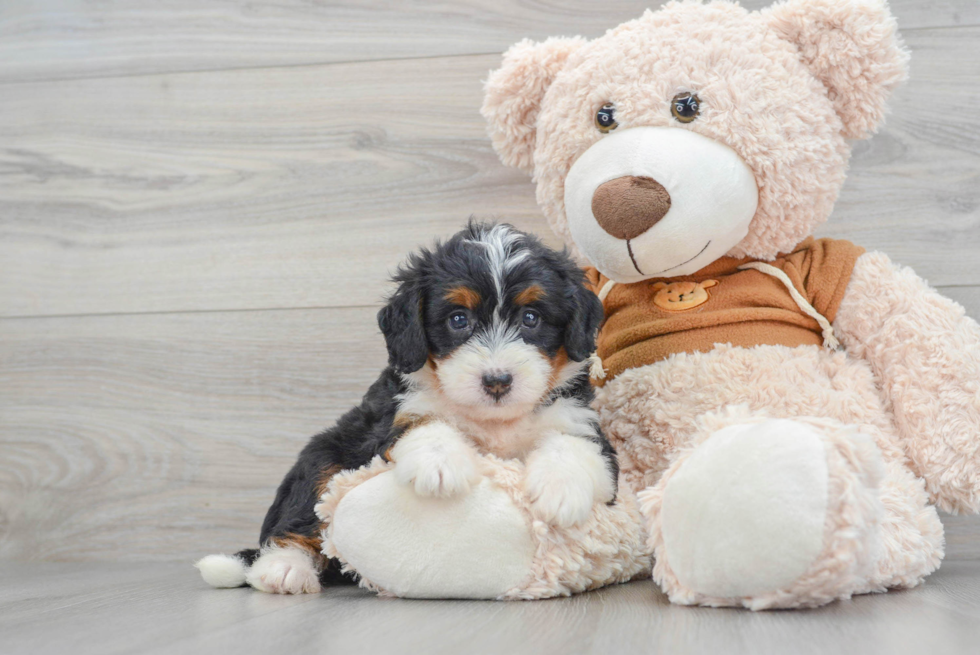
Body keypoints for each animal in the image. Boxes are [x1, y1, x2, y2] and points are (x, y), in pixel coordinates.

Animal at [195, 222, 616, 596]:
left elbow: (575, 445)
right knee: (301, 517)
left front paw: (561, 489)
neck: (494, 421)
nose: (497, 381)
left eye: (531, 318)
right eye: (458, 319)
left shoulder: (580, 420)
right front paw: (440, 465)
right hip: (324, 456)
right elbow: (424, 422)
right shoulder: (392, 416)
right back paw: (284, 567)